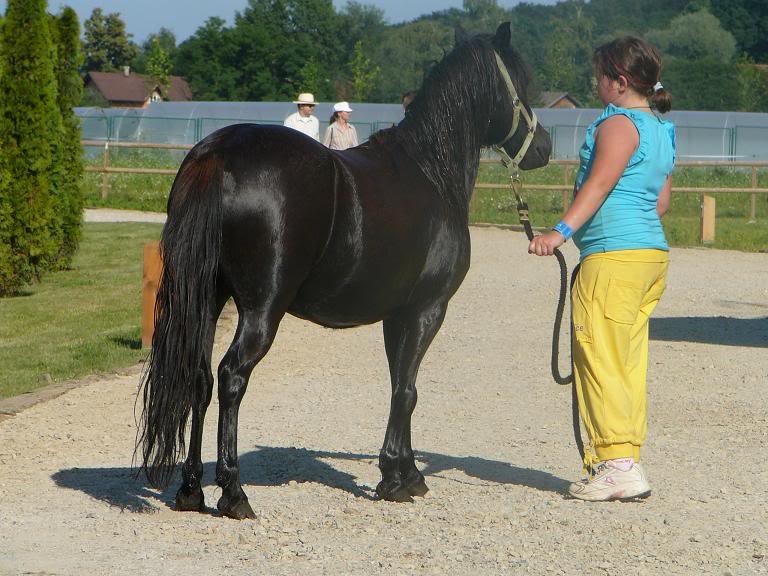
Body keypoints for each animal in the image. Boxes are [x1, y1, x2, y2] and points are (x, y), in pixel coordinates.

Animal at [138, 22, 552, 520]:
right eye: (522, 85)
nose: (545, 148)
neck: (430, 170)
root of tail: (218, 153)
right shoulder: (427, 309)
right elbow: (408, 390)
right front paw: (398, 479)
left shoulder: (397, 315)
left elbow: (399, 385)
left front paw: (404, 472)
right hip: (261, 309)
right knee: (231, 376)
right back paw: (234, 493)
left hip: (206, 299)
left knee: (198, 378)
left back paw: (191, 490)